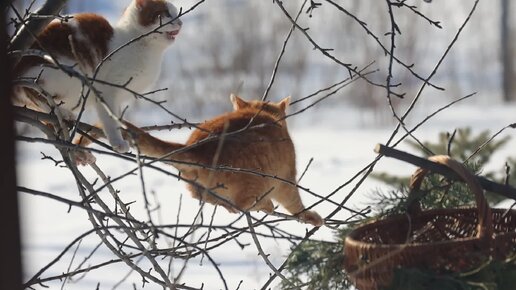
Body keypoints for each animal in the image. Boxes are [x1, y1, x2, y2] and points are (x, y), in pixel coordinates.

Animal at [14, 0, 182, 164]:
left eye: (176, 13)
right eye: (167, 14)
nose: (180, 22)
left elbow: (116, 116)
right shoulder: (107, 90)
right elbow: (110, 119)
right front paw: (117, 141)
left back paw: (79, 153)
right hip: (58, 72)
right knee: (32, 90)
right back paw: (61, 111)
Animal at [122, 95, 322, 227]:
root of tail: (195, 147)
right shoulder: (287, 179)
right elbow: (296, 204)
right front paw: (310, 217)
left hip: (198, 186)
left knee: (204, 197)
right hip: (256, 179)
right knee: (243, 204)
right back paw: (266, 205)